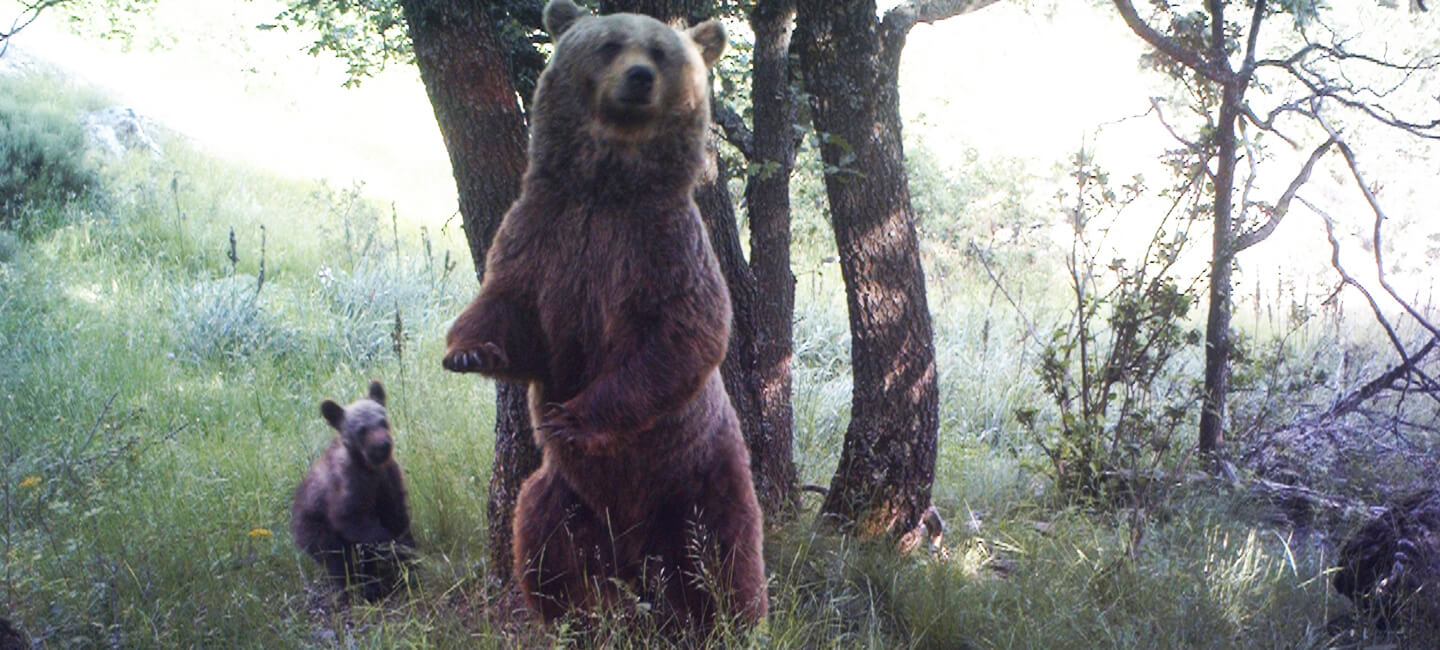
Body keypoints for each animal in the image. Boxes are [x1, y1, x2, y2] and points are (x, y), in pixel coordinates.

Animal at [286, 380, 411, 605]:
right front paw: (391, 546)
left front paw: (407, 551)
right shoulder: (346, 489)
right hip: (313, 528)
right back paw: (357, 589)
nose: (383, 446)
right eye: (361, 429)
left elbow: (396, 513)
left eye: (383, 421)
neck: (369, 468)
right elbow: (351, 520)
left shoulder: (388, 478)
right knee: (337, 559)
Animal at [446, 0, 766, 634]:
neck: (607, 187)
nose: (639, 77)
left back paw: (731, 620)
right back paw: (575, 615)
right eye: (611, 43)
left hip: (700, 472)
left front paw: (574, 418)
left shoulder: (663, 245)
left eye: (662, 52)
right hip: (566, 492)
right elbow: (510, 307)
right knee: (543, 541)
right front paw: (469, 350)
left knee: (727, 553)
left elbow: (685, 335)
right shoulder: (545, 232)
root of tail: (635, 553)